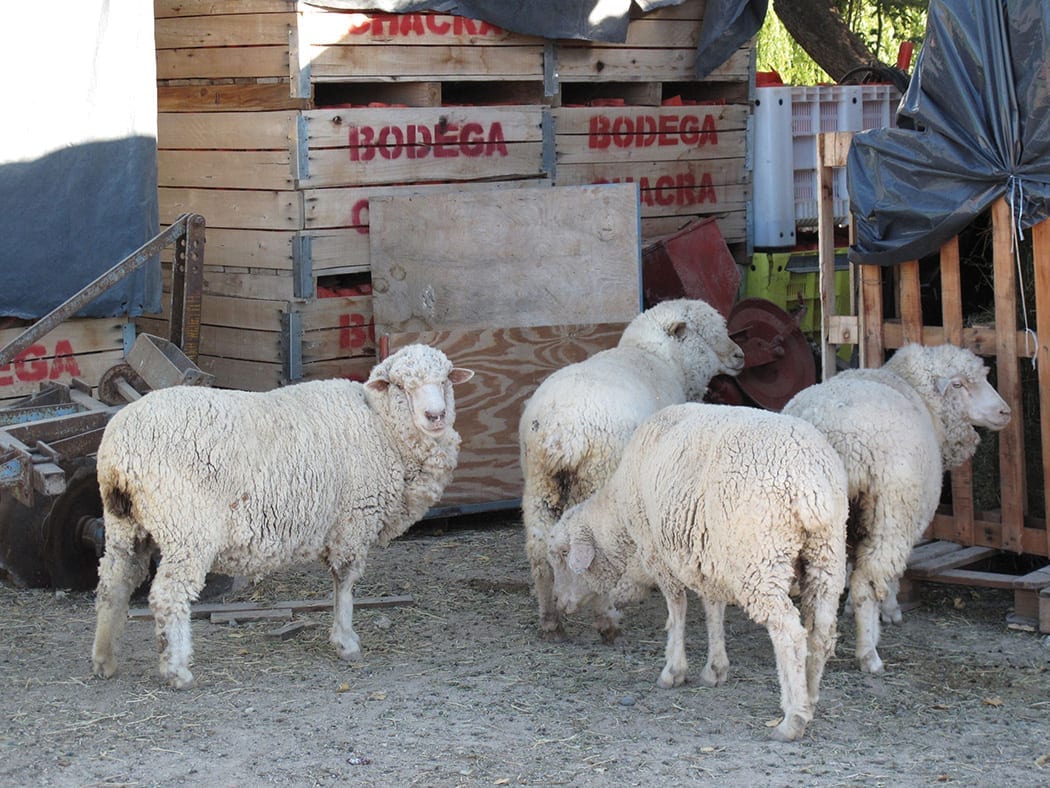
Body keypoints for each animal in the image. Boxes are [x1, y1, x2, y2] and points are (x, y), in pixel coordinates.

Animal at [91, 344, 474, 689]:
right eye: (399, 385)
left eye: (445, 380)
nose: (436, 416)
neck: (380, 424)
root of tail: (118, 449)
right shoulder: (354, 519)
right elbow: (345, 581)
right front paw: (346, 641)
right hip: (186, 526)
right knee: (168, 594)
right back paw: (177, 671)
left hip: (124, 523)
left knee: (115, 581)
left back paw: (105, 658)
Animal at [519, 298, 745, 642]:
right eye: (708, 334)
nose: (739, 356)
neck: (657, 357)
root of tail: (561, 432)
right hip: (598, 475)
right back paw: (605, 620)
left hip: (539, 483)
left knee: (539, 546)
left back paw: (550, 620)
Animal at [546, 402, 848, 742]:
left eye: (562, 555)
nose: (557, 601)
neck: (619, 518)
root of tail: (810, 482)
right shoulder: (709, 557)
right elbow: (713, 610)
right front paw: (715, 669)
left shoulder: (658, 553)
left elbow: (677, 611)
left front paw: (673, 670)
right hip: (827, 555)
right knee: (821, 631)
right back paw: (810, 699)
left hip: (760, 559)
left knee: (790, 633)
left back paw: (792, 719)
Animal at [782, 342, 1011, 674]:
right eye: (959, 384)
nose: (1005, 411)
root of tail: (831, 432)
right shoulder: (904, 516)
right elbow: (887, 575)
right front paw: (890, 609)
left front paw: (848, 608)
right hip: (890, 513)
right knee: (865, 581)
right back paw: (869, 654)